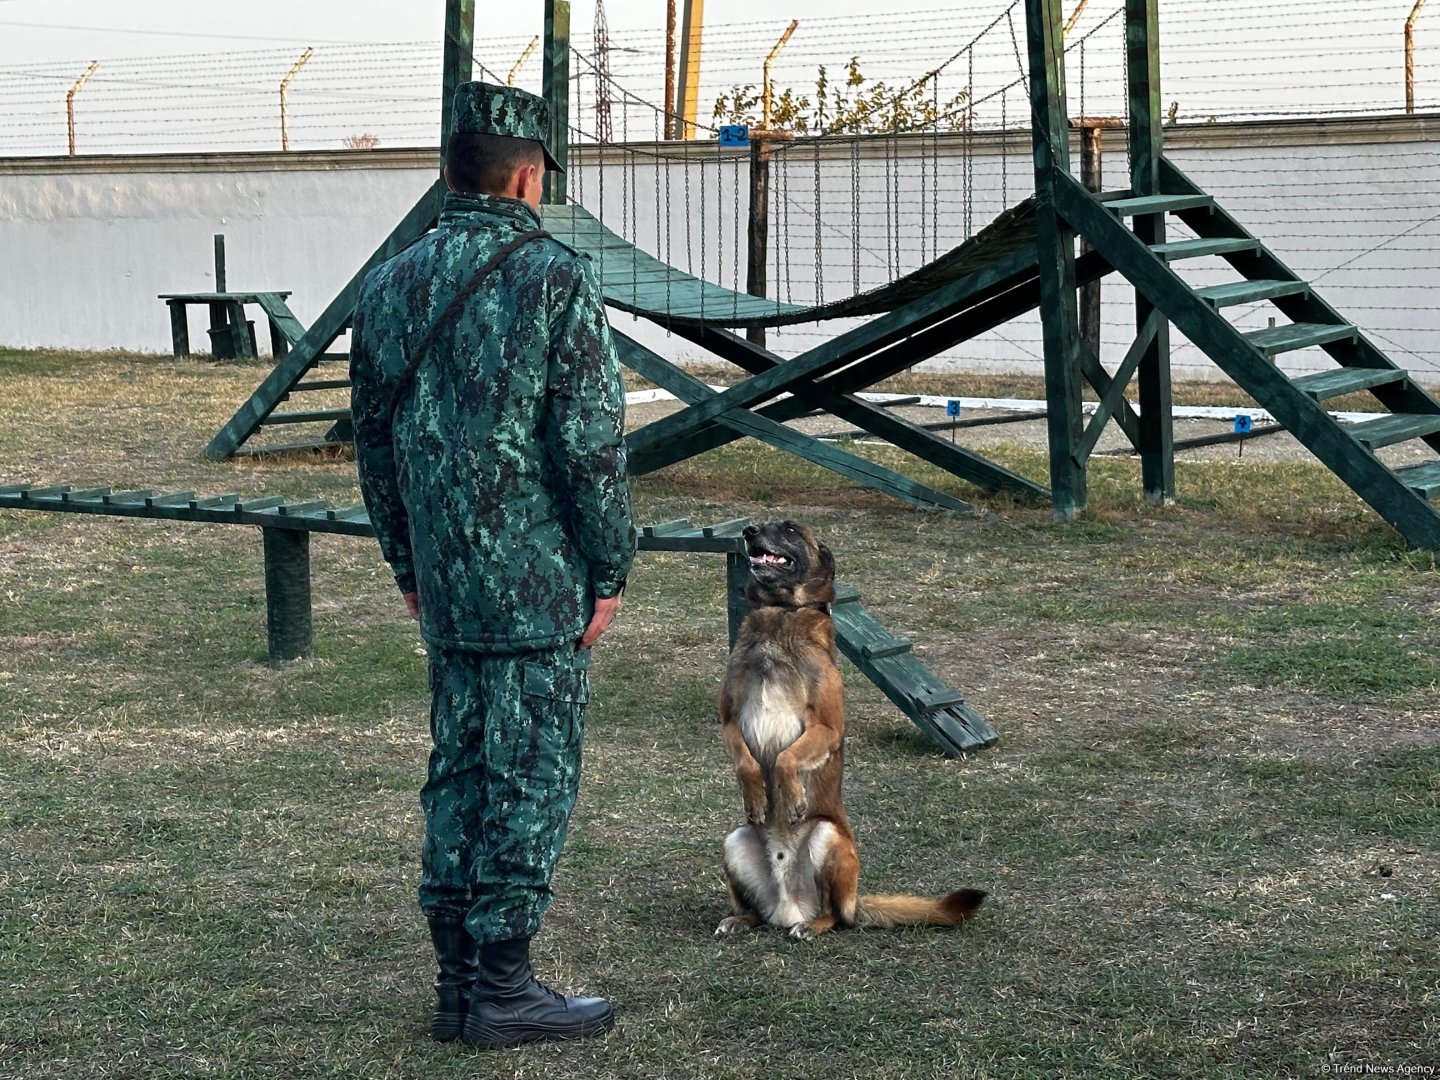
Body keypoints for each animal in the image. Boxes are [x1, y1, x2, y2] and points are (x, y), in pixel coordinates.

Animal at [714, 521, 984, 938]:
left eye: (789, 529)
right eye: (764, 524)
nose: (749, 530)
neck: (781, 613)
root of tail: (789, 908)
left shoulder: (827, 726)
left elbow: (786, 758)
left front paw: (790, 796)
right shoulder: (729, 721)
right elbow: (747, 762)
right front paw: (756, 796)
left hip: (828, 838)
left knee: (837, 916)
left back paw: (814, 925)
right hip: (735, 840)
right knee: (756, 910)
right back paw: (740, 918)